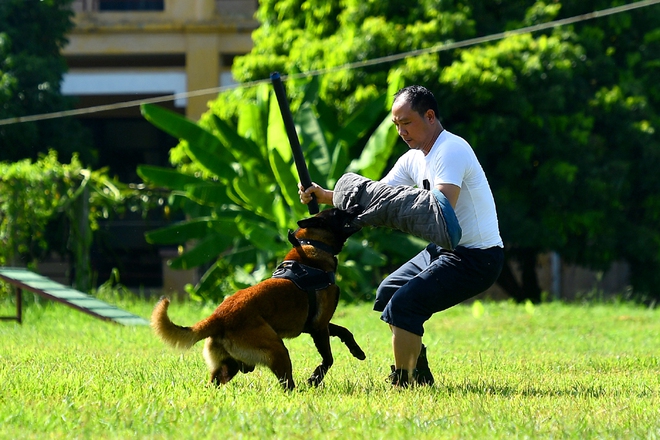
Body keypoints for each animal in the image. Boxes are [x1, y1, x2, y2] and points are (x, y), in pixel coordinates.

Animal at [151, 208, 366, 390]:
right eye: (339, 212)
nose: (356, 207)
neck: (312, 246)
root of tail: (217, 317)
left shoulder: (315, 324)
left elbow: (344, 331)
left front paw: (357, 351)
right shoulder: (318, 327)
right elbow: (328, 359)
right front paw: (315, 378)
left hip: (229, 366)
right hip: (278, 349)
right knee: (287, 384)